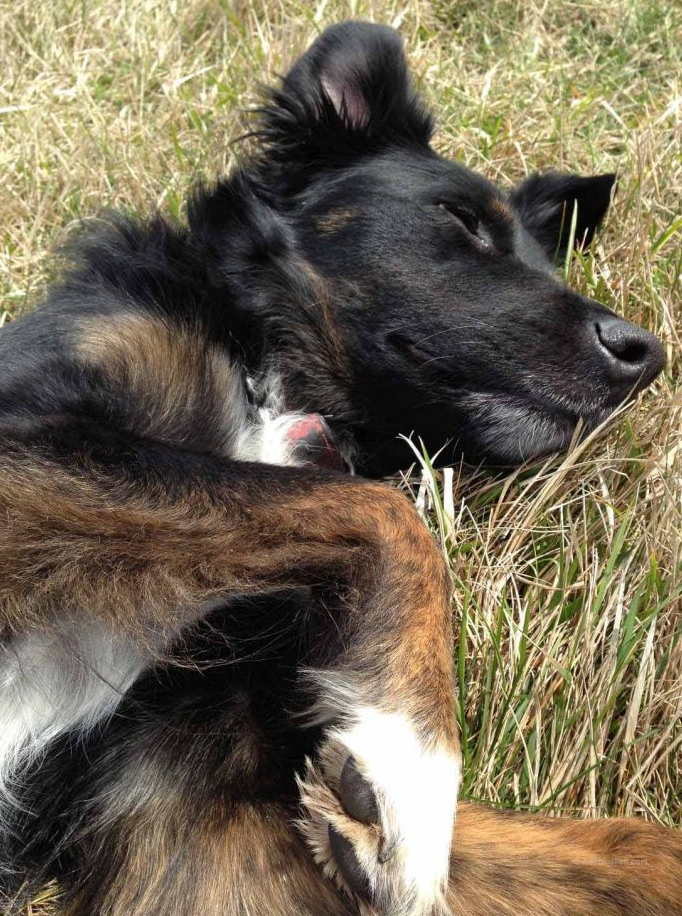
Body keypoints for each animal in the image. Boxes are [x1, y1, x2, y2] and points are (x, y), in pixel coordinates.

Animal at [0, 19, 676, 916]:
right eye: (459, 219)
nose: (645, 356)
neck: (280, 373)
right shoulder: (32, 442)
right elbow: (383, 511)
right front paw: (418, 772)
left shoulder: (195, 800)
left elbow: (621, 845)